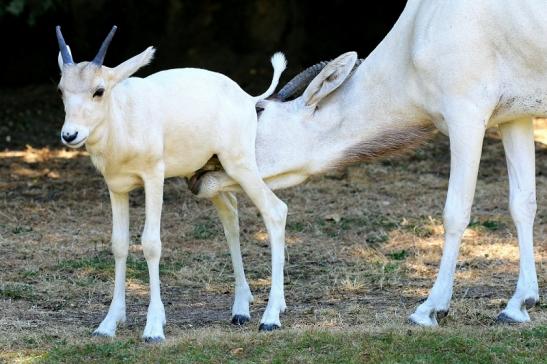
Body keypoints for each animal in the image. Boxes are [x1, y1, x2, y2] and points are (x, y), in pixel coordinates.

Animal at [57, 25, 292, 342]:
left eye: (99, 90)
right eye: (61, 89)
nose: (70, 135)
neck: (123, 118)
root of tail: (246, 97)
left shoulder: (153, 178)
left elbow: (150, 243)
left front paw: (154, 328)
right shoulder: (116, 187)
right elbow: (119, 244)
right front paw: (107, 325)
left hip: (240, 164)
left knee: (275, 210)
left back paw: (270, 317)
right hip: (213, 176)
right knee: (231, 216)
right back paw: (241, 309)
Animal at [191, 0, 540, 328]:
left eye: (259, 110)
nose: (197, 175)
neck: (419, 29)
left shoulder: (466, 116)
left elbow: (455, 212)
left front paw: (428, 310)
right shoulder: (515, 116)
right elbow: (522, 204)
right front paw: (518, 306)